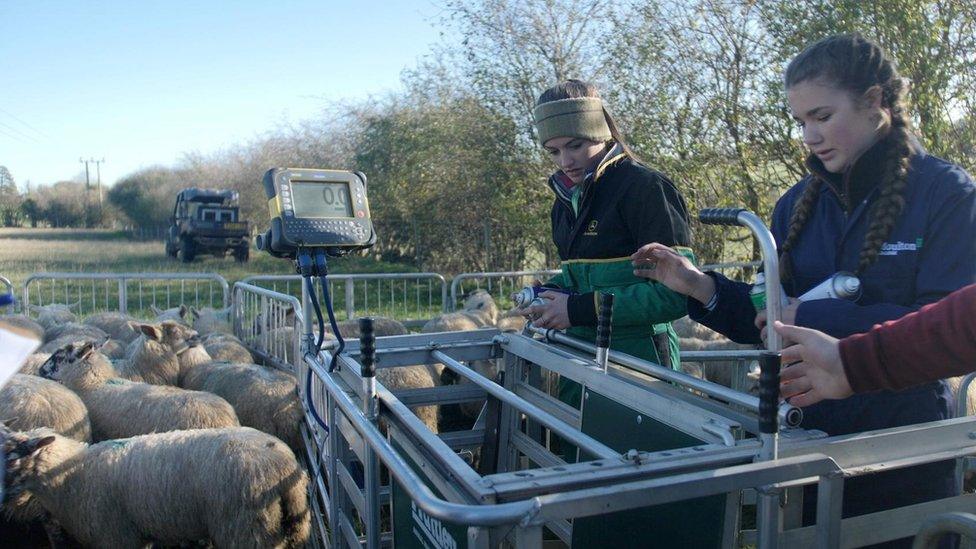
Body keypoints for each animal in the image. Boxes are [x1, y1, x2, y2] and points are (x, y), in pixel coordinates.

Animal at [1, 424, 310, 548]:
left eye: (13, 459)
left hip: (245, 529)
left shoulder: (116, 537)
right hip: (287, 527)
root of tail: (284, 465)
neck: (71, 475)